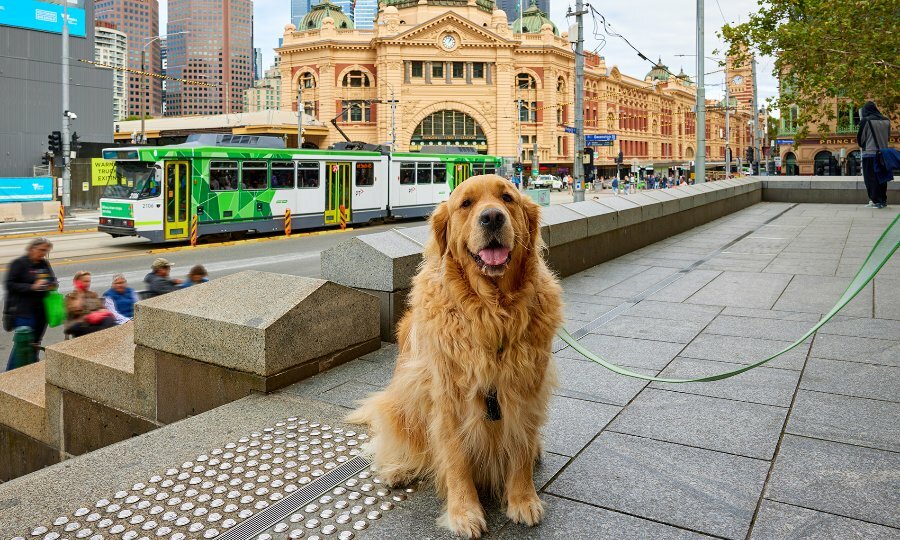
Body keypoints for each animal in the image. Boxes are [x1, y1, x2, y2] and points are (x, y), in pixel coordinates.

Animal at [348, 176, 560, 536]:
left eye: (507, 198)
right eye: (466, 204)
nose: (492, 217)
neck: (492, 315)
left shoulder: (525, 390)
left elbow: (519, 449)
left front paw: (523, 499)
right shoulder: (449, 399)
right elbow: (457, 460)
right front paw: (463, 512)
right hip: (401, 402)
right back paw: (397, 468)